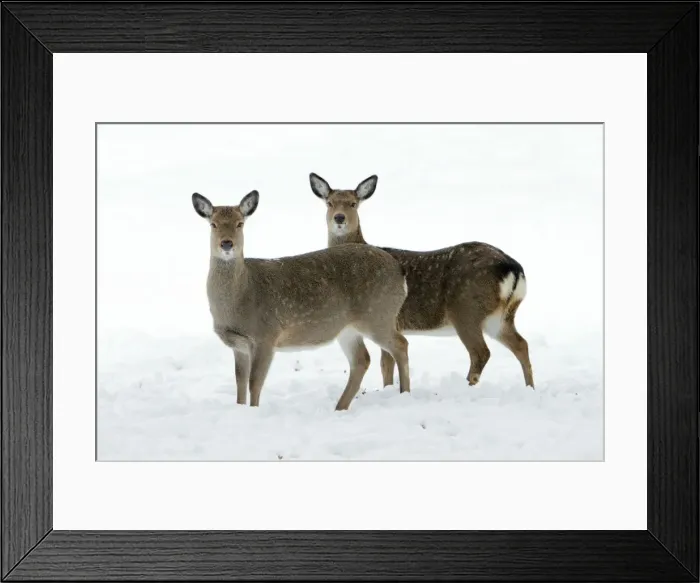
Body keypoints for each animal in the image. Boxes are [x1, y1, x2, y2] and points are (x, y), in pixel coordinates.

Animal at [191, 189, 411, 411]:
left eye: (240, 223)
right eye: (213, 224)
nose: (227, 243)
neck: (241, 297)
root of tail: (399, 271)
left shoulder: (266, 334)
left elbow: (255, 382)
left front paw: (253, 411)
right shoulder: (239, 345)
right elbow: (240, 383)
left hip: (378, 314)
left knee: (401, 344)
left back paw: (405, 393)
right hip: (349, 328)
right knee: (361, 359)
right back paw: (339, 407)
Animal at [309, 172, 534, 390]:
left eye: (353, 203)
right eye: (329, 202)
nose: (339, 218)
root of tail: (513, 268)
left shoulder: (385, 318)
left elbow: (386, 364)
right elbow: (386, 365)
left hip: (466, 309)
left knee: (481, 352)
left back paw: (467, 386)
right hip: (500, 316)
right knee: (521, 344)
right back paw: (529, 387)